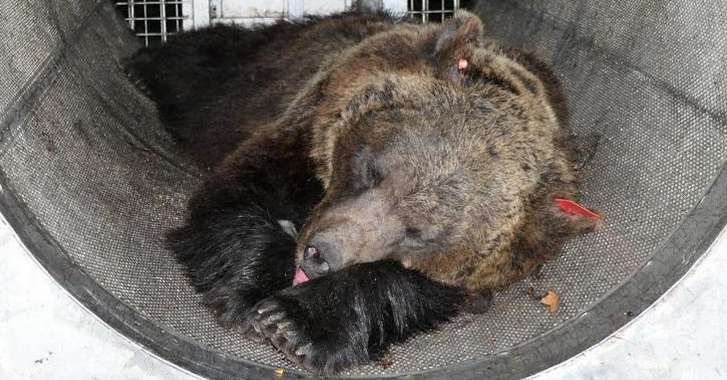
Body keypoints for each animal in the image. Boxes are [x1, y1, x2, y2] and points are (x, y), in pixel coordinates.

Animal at [128, 10, 600, 376]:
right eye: (372, 170)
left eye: (417, 233)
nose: (320, 255)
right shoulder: (300, 132)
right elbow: (237, 197)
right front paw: (250, 292)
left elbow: (406, 286)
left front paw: (293, 322)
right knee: (207, 64)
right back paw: (144, 62)